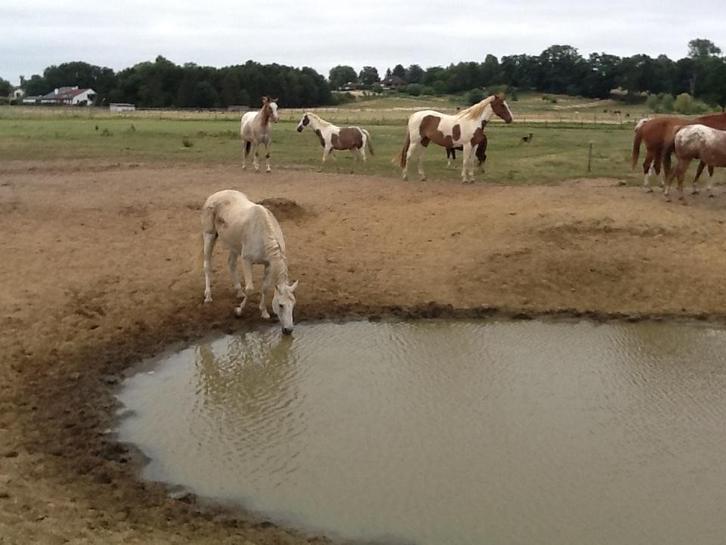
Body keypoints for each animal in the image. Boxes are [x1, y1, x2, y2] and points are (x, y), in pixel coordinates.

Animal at [201, 190, 298, 334]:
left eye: (293, 304)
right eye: (281, 305)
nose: (288, 330)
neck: (263, 235)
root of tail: (215, 195)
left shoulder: (268, 264)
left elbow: (265, 287)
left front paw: (264, 312)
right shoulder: (246, 261)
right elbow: (250, 289)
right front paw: (238, 311)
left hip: (234, 244)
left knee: (231, 264)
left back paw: (239, 292)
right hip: (209, 235)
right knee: (207, 264)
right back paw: (208, 296)